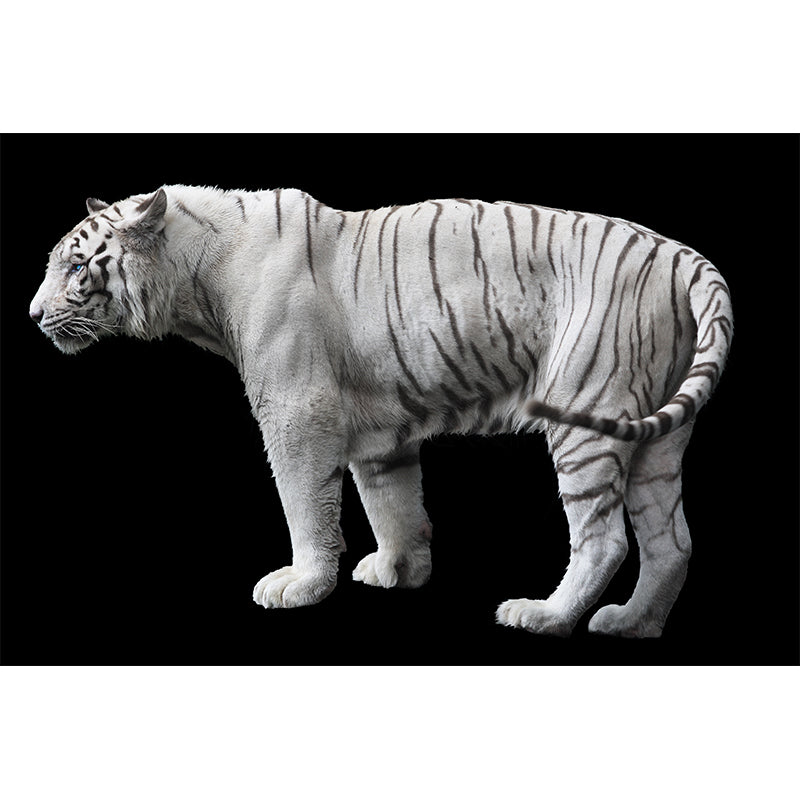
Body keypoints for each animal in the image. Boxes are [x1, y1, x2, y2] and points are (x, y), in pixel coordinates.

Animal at [30, 185, 732, 638]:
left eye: (76, 265)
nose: (34, 315)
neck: (195, 282)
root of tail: (681, 256)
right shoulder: (378, 429)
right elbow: (391, 503)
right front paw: (398, 570)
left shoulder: (296, 410)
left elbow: (306, 504)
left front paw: (301, 584)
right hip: (658, 438)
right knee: (671, 539)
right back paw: (633, 624)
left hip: (585, 410)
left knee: (604, 537)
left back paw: (545, 616)